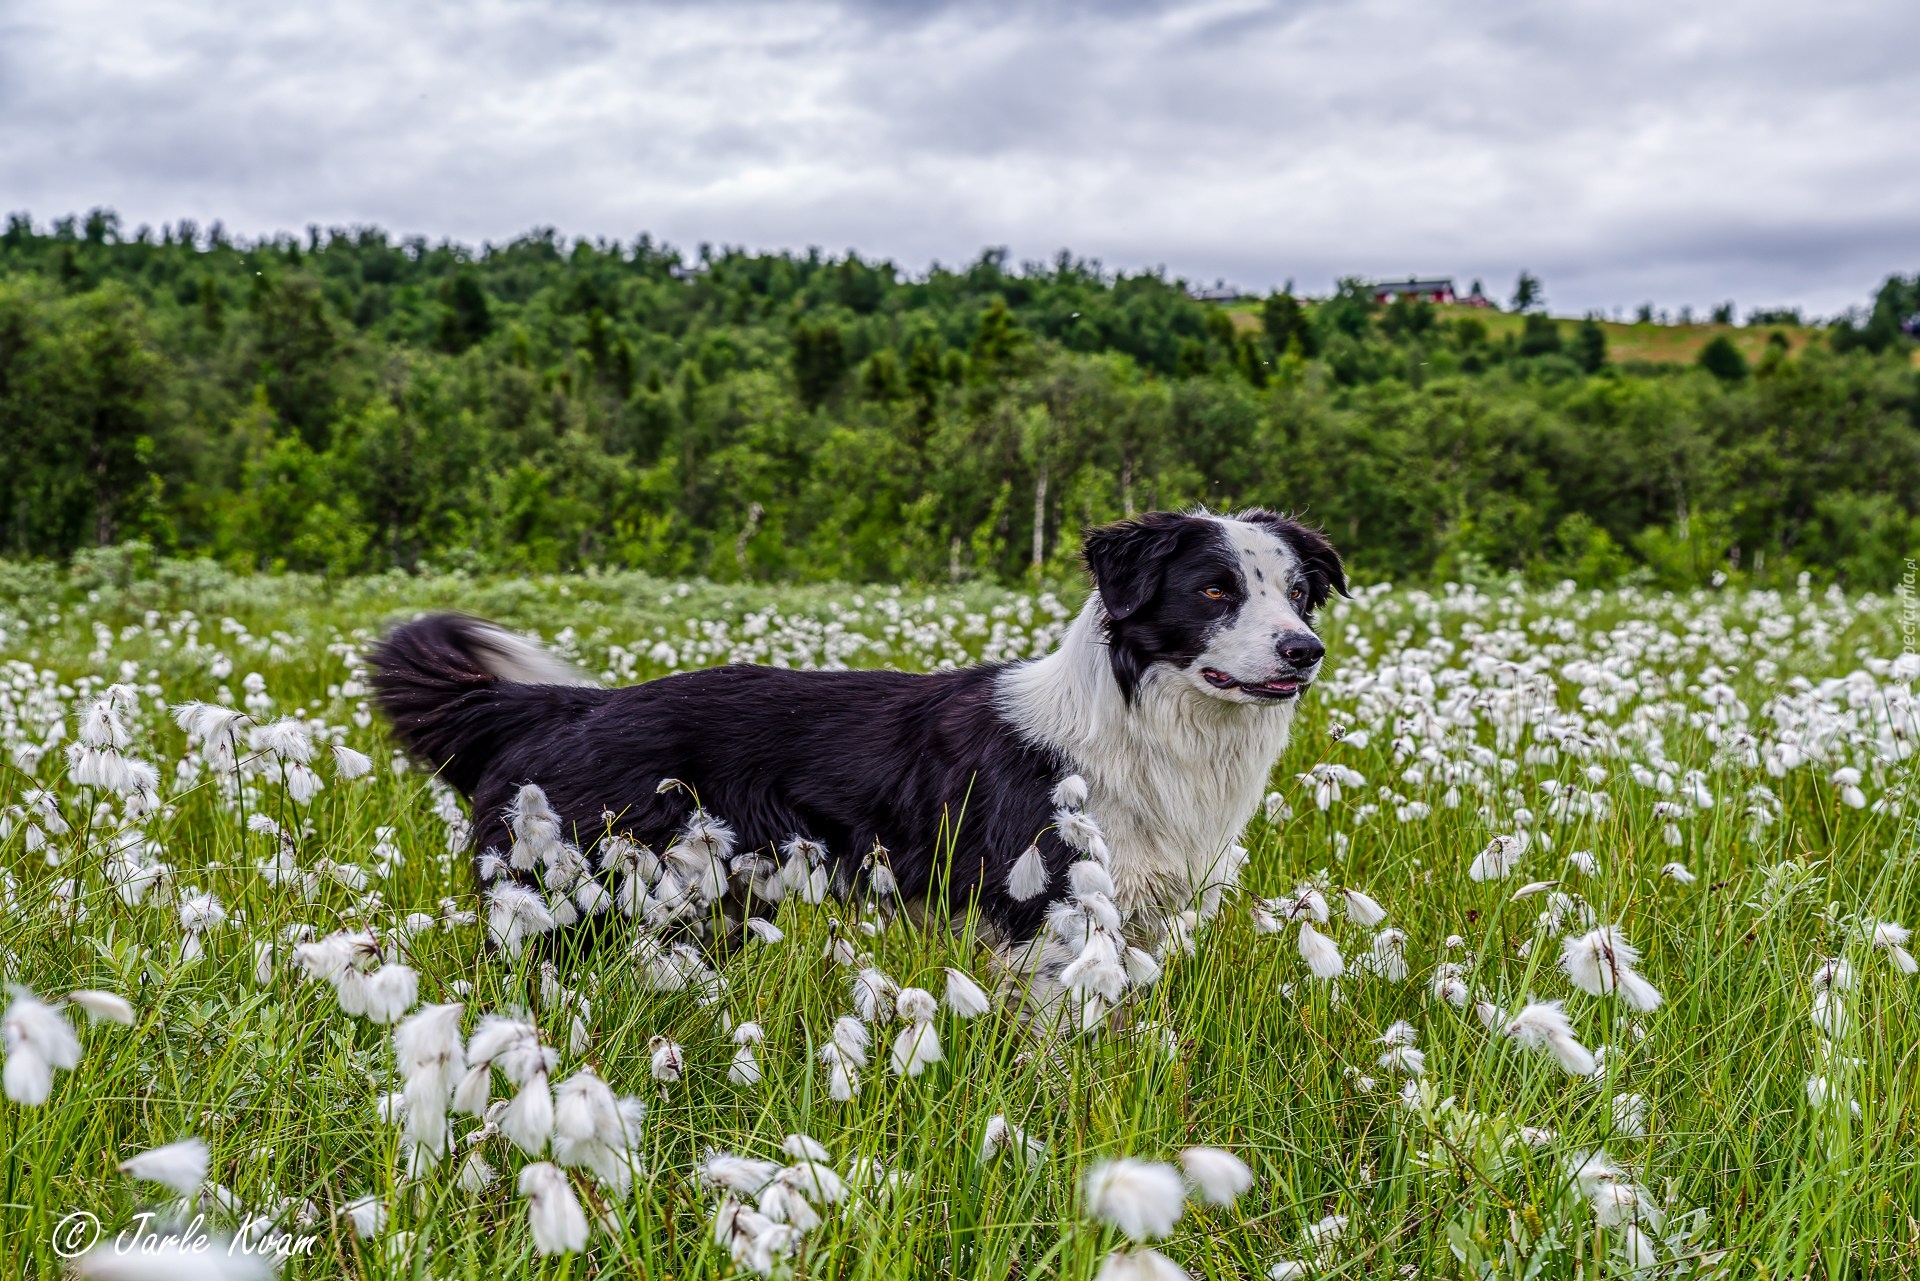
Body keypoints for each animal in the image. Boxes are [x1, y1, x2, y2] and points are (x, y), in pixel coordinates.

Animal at [366, 510, 1344, 990]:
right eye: (1214, 589)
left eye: (1299, 592)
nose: (1306, 650)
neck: (1142, 724)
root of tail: (567, 707)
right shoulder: (1044, 918)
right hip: (578, 903)